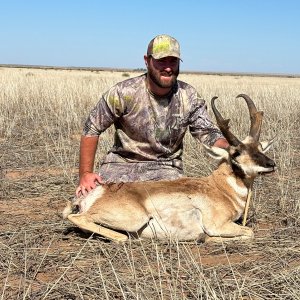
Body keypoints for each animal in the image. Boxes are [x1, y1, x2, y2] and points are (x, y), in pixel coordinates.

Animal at [63, 95, 276, 243]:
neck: (218, 187)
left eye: (259, 148)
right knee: (79, 218)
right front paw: (204, 238)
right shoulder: (218, 225)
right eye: (236, 153)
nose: (271, 165)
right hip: (134, 218)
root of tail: (98, 191)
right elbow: (249, 232)